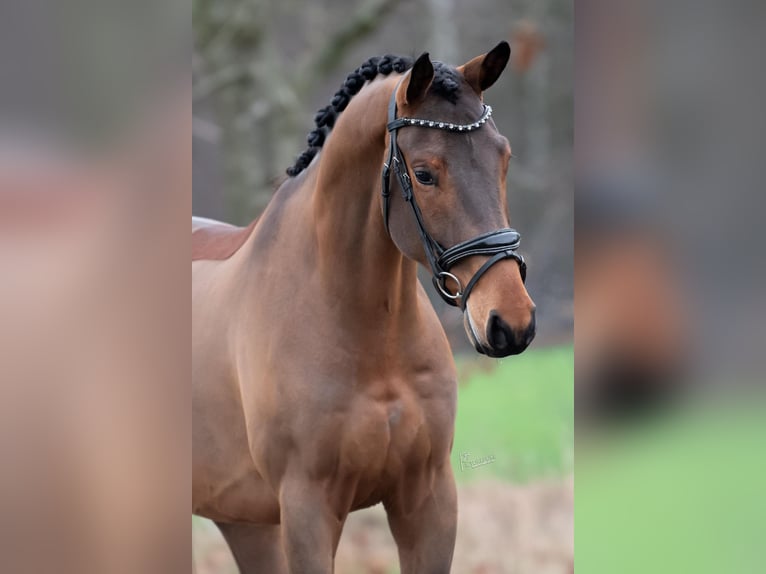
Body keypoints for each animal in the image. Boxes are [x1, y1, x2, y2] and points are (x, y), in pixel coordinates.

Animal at [192, 42, 536, 573]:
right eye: (424, 174)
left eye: (504, 157)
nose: (510, 322)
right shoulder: (307, 511)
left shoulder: (428, 500)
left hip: (242, 519)